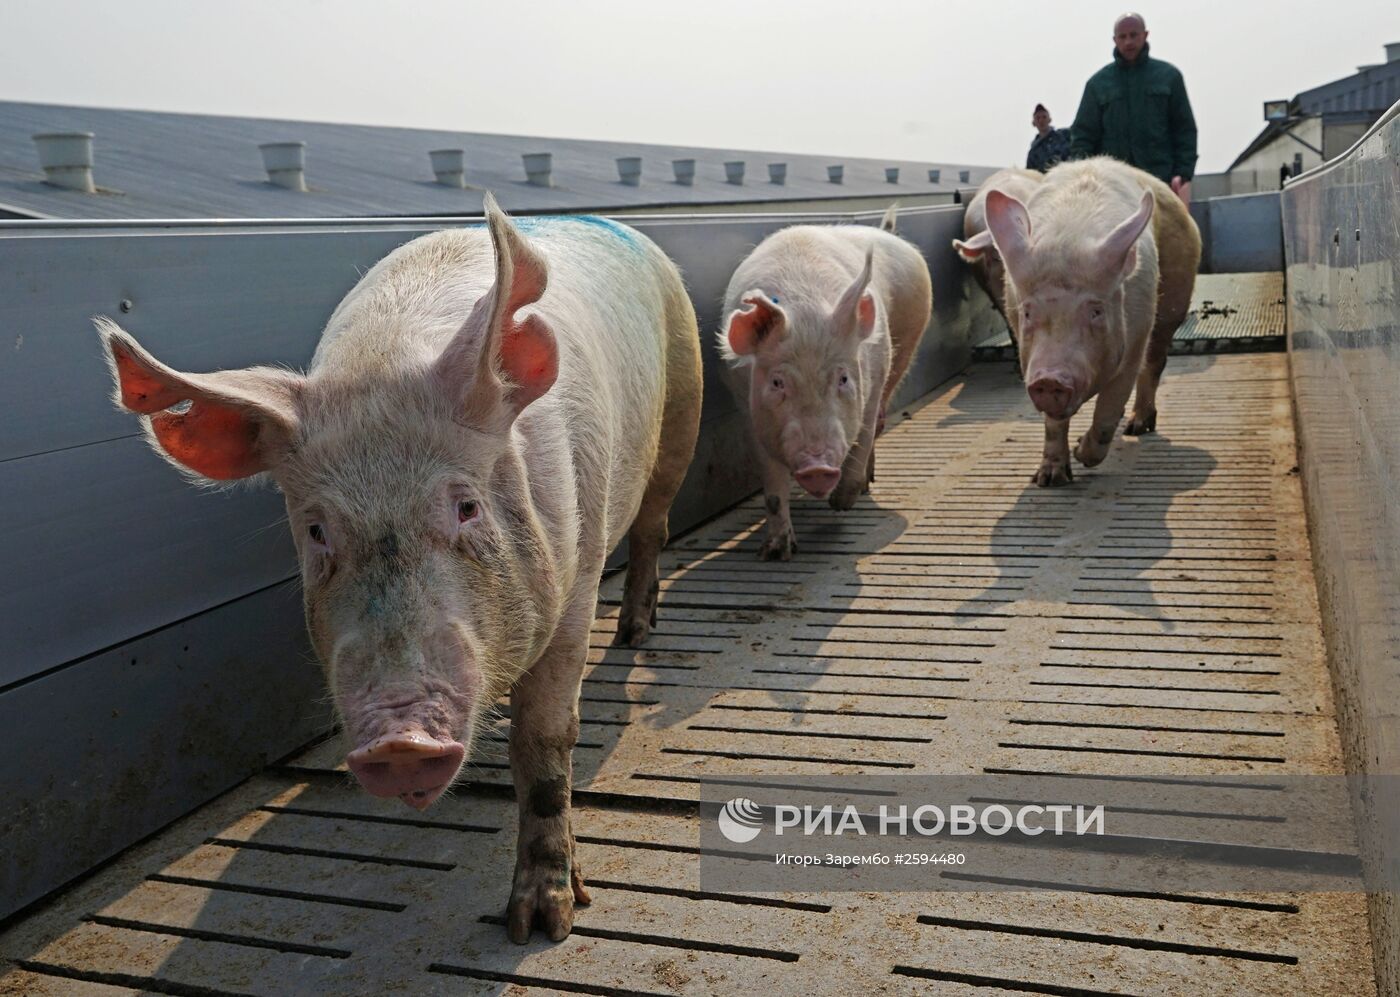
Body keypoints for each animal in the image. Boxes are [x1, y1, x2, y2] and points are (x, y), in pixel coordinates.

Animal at [97, 196, 705, 940]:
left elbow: (544, 738)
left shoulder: (579, 573)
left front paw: (541, 924)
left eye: (467, 507)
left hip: (682, 405)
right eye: (318, 530)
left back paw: (636, 633)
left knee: (654, 522)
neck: (384, 357)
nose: (400, 740)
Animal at [716, 205, 935, 557]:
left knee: (880, 420)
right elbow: (772, 484)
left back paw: (867, 484)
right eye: (777, 383)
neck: (804, 310)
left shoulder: (873, 379)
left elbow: (864, 432)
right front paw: (776, 553)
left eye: (843, 378)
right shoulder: (749, 409)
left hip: (907, 342)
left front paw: (841, 504)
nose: (817, 467)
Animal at [985, 157, 1204, 490]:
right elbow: (1053, 423)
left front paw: (1082, 453)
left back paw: (1138, 427)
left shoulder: (1134, 337)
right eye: (1027, 313)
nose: (1049, 380)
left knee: (1155, 363)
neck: (1069, 239)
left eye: (1096, 311)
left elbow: (1108, 411)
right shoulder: (1033, 360)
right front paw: (1049, 479)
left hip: (1174, 299)